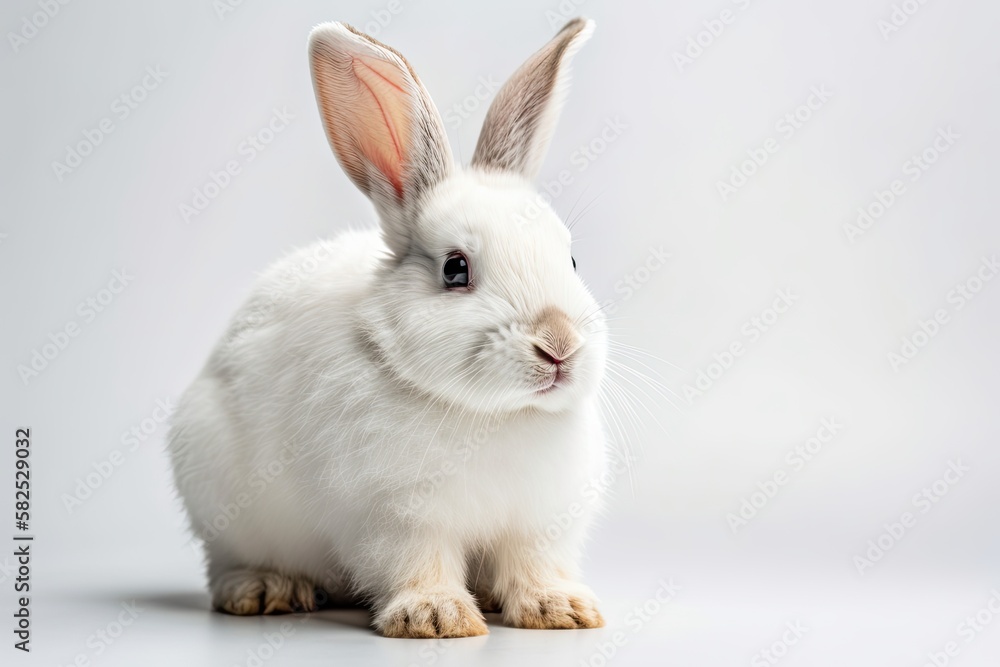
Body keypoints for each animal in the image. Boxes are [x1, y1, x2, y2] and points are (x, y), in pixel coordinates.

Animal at [169, 18, 608, 640]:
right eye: (455, 269)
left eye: (570, 260)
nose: (560, 345)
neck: (495, 415)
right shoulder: (396, 518)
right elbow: (418, 563)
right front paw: (437, 618)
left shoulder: (539, 523)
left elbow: (535, 565)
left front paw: (560, 611)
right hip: (221, 498)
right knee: (225, 565)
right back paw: (266, 590)